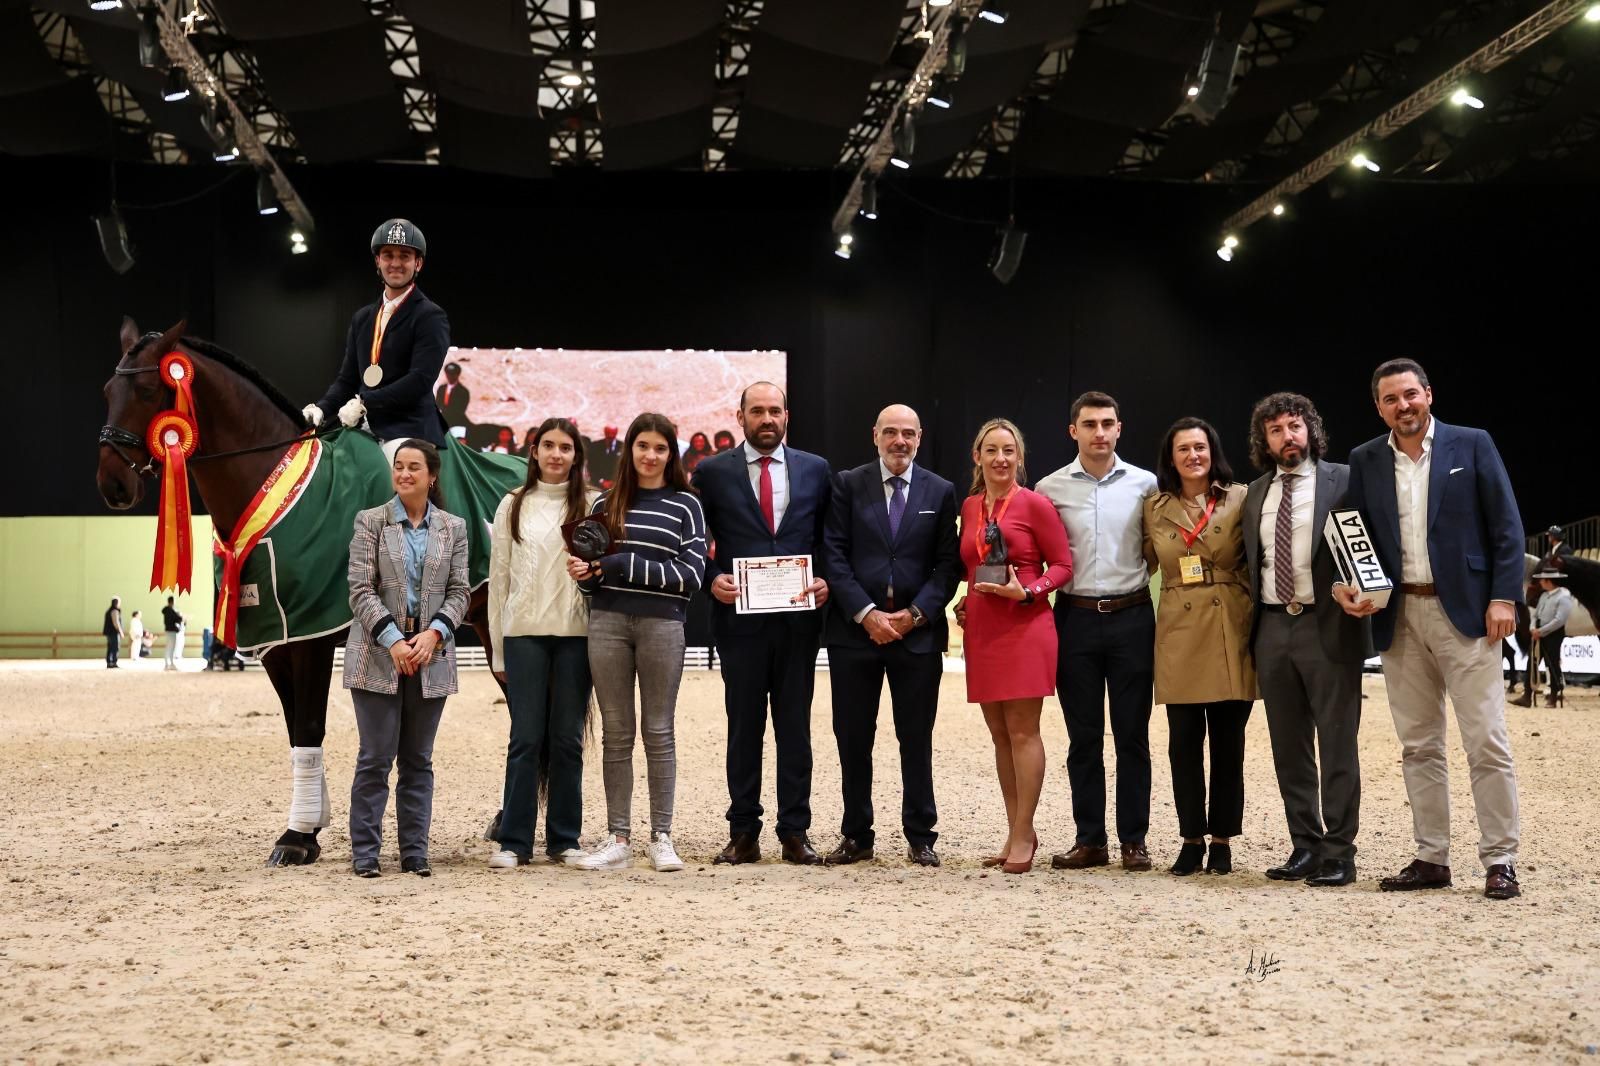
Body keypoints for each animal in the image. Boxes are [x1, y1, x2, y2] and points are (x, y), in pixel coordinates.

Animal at [98, 315, 505, 864]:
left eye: (145, 390)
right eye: (107, 391)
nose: (112, 484)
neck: (278, 488)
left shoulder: (312, 635)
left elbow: (310, 725)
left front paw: (296, 837)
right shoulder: (276, 635)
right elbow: (296, 730)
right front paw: (308, 827)